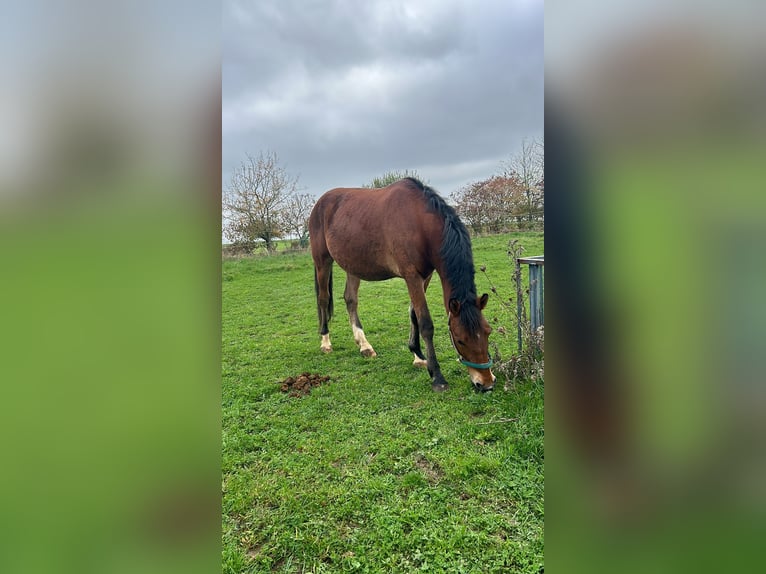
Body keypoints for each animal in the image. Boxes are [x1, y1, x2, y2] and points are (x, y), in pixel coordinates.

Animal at [310, 176, 498, 394]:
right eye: (460, 339)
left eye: (488, 331)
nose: (486, 383)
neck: (420, 223)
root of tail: (320, 203)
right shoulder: (411, 276)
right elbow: (426, 323)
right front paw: (437, 377)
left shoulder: (425, 276)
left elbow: (414, 314)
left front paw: (418, 356)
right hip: (322, 261)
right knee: (323, 299)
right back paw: (325, 342)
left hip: (352, 265)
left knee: (350, 300)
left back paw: (364, 345)